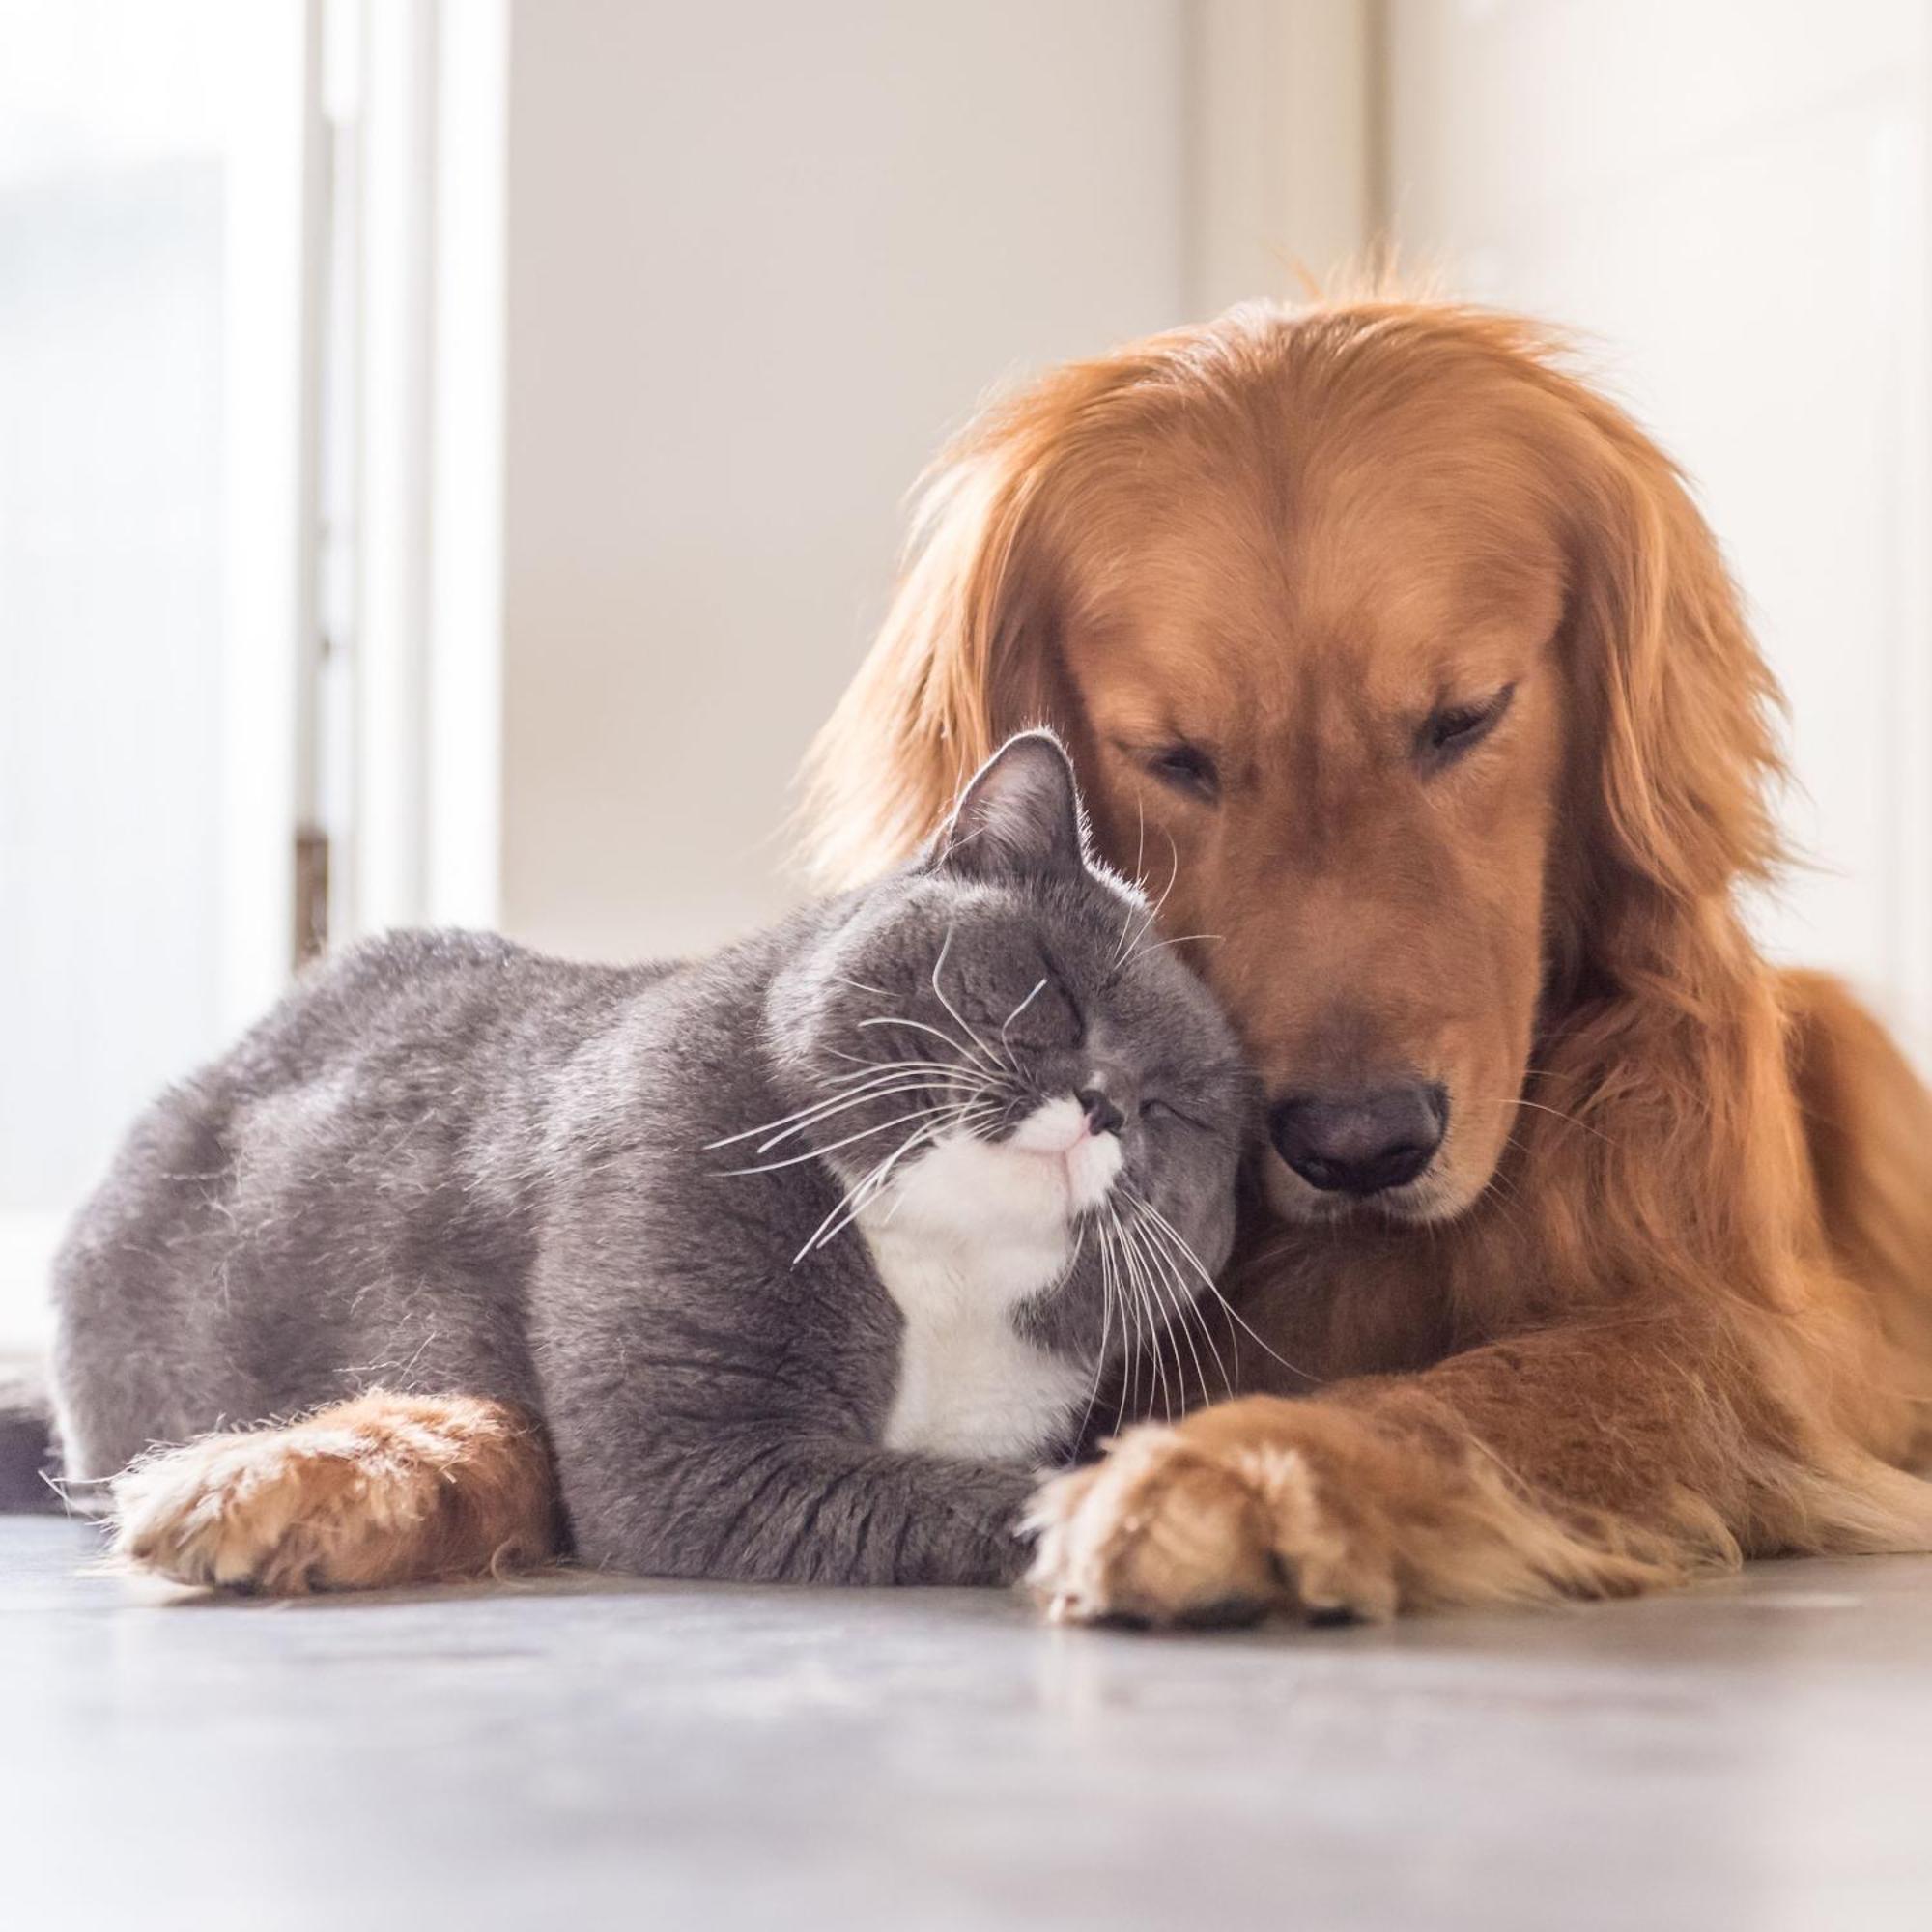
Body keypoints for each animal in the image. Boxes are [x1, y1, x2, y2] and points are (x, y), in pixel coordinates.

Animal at [52, 734, 1252, 1584]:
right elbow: (969, 1494)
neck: (941, 1277)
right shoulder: (696, 1453)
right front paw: (1132, 1513)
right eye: (1057, 990)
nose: (1104, 1104)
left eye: (1176, 1109)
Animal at [804, 301, 1932, 1623]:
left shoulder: (1752, 1340)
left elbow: (1507, 1384)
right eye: (1174, 758)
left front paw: (1244, 1467)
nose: (1358, 1146)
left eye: (1465, 717)